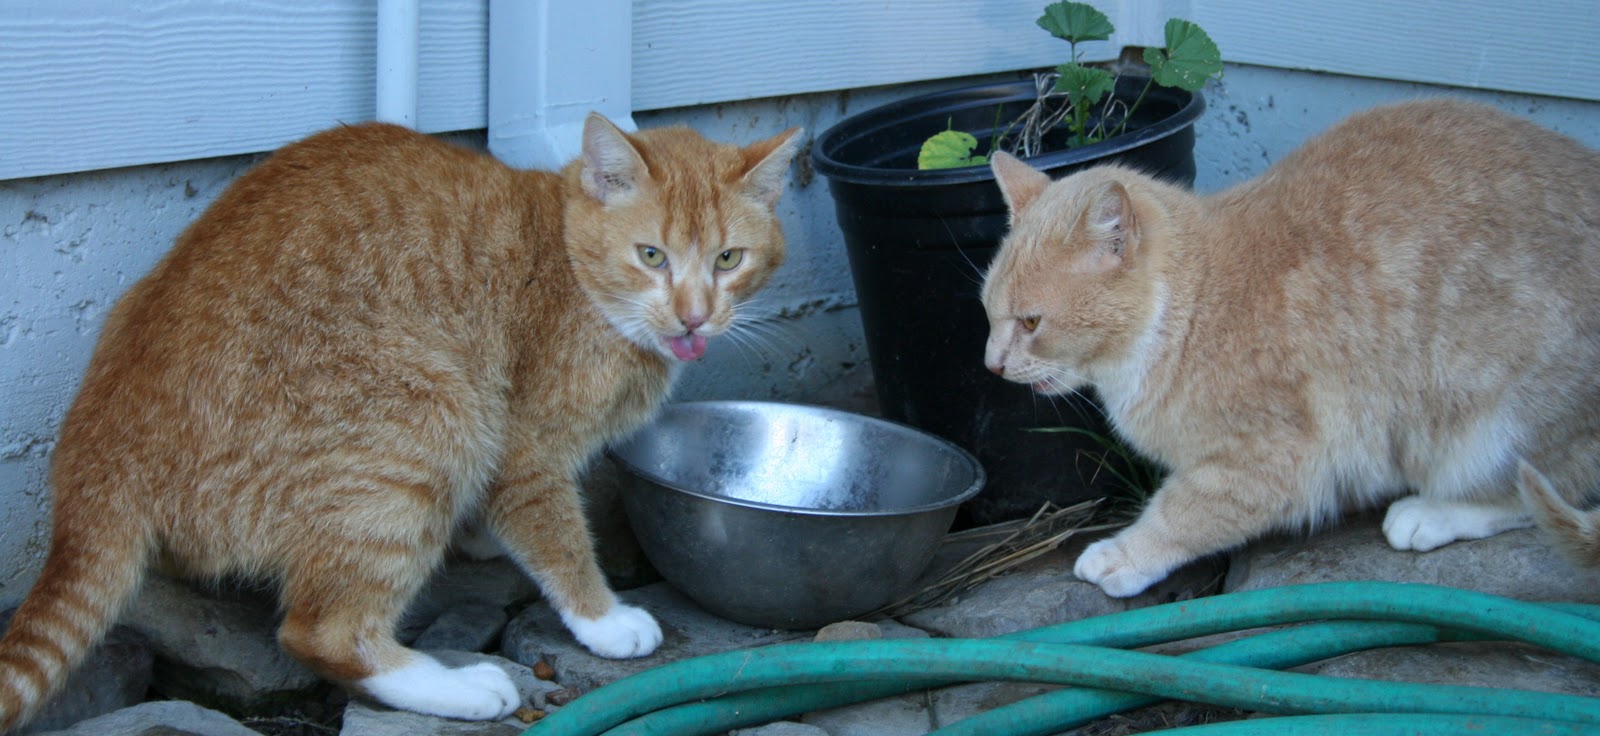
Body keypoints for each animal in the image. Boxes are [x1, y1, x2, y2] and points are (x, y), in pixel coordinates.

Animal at [0, 110, 800, 729]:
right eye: (652, 255)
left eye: (729, 258)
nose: (695, 317)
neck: (572, 270)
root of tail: (99, 459)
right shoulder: (522, 446)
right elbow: (559, 537)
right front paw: (602, 619)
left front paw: (478, 535)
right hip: (431, 417)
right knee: (323, 633)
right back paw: (459, 688)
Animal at [979, 97, 1600, 598]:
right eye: (987, 312)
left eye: (1031, 321)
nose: (992, 364)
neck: (1193, 307)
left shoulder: (1276, 459)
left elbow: (1184, 512)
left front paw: (1126, 554)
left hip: (1494, 427)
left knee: (1540, 494)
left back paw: (1429, 514)